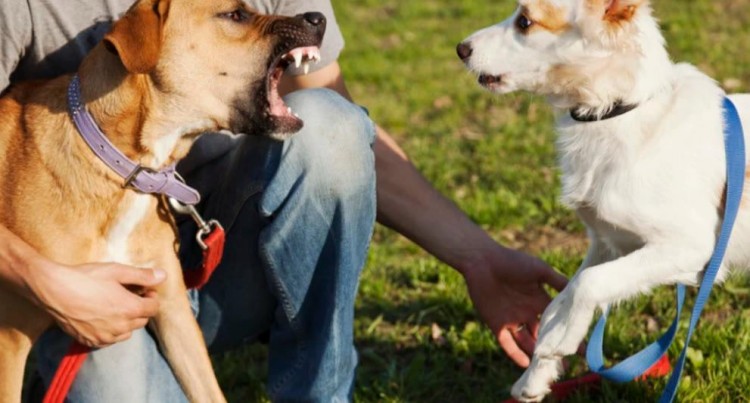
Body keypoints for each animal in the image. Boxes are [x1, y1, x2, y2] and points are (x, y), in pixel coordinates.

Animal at [0, 0, 326, 400]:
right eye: (235, 15)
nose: (318, 18)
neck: (129, 168)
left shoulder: (173, 311)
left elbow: (208, 389)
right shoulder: (10, 339)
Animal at [458, 1, 750, 402]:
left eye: (525, 22)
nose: (460, 48)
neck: (616, 112)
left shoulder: (693, 246)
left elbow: (589, 283)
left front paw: (562, 341)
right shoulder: (610, 243)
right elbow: (561, 299)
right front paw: (538, 371)